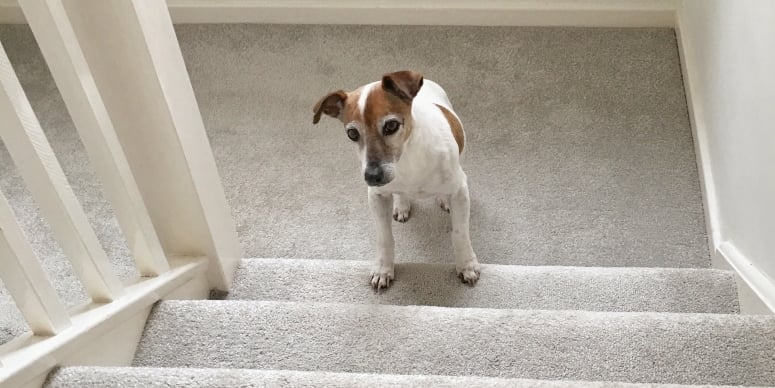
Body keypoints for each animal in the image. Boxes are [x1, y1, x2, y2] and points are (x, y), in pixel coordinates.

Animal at [314, 69, 482, 290]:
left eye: (391, 125)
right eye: (352, 133)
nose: (372, 177)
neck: (407, 159)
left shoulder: (460, 191)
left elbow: (460, 233)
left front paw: (467, 265)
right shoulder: (377, 197)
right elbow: (385, 238)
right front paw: (383, 269)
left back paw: (443, 199)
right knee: (401, 195)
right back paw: (402, 205)